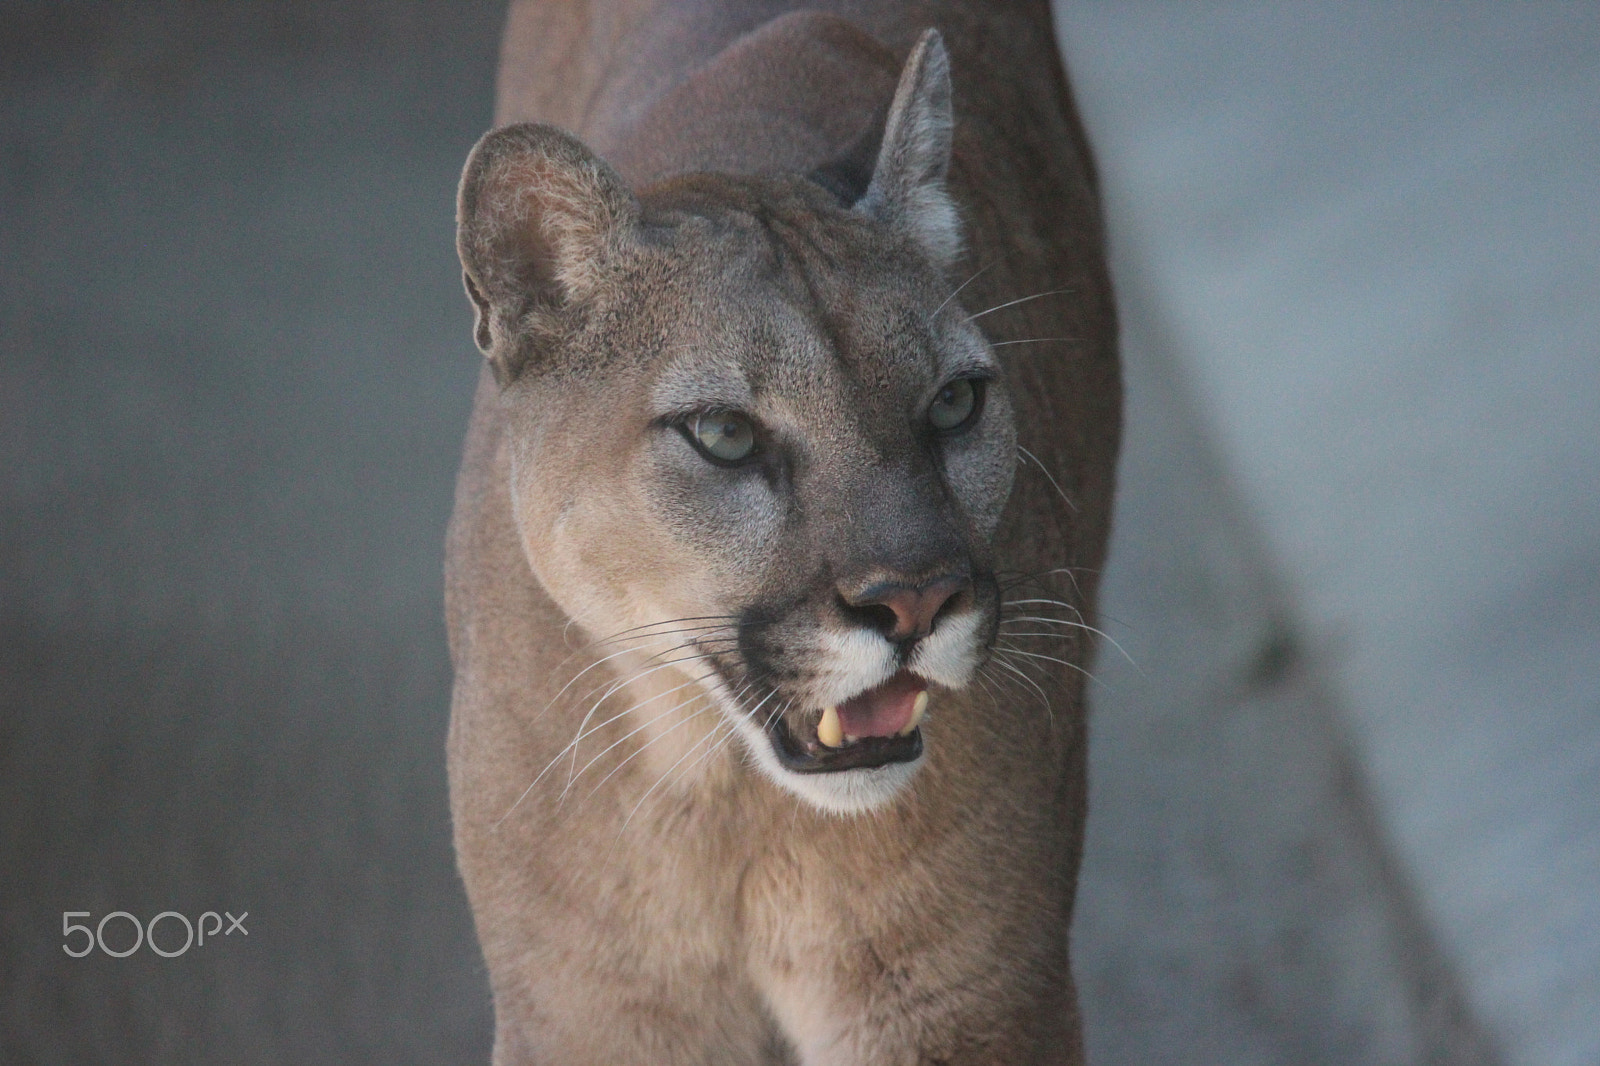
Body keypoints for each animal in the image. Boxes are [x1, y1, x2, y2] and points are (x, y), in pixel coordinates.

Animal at [445, 2, 1119, 1062]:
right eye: (725, 434)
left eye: (955, 403)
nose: (917, 600)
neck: (729, 805)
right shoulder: (589, 1014)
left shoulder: (973, 1003)